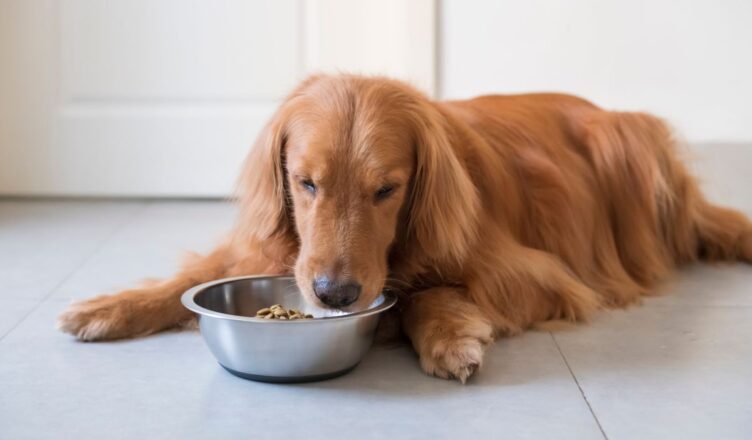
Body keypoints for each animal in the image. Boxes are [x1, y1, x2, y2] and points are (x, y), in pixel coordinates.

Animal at [60, 75, 752, 382]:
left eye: (386, 190)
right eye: (306, 183)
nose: (334, 295)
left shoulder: (537, 275)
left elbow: (425, 293)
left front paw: (447, 337)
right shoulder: (272, 247)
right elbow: (193, 277)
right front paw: (110, 306)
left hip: (631, 154)